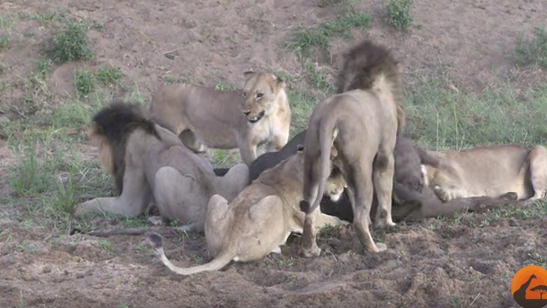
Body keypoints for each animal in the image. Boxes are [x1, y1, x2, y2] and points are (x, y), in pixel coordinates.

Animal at [74, 98, 249, 231]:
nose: (101, 154)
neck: (137, 125)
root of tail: (207, 215)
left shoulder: (133, 160)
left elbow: (125, 205)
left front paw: (78, 208)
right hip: (241, 169)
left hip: (163, 175)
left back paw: (157, 219)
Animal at [148, 70, 294, 166]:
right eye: (244, 94)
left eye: (260, 95)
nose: (245, 112)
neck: (269, 117)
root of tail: (155, 95)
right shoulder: (246, 143)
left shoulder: (276, 144)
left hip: (192, 140)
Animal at [148, 146, 348, 276]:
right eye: (335, 171)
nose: (345, 186)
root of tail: (231, 243)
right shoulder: (312, 217)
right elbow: (336, 220)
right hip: (274, 201)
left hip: (216, 199)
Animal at [296, 40, 406, 258]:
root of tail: (330, 115)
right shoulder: (385, 154)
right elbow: (385, 191)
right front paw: (387, 223)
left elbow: (353, 197)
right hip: (361, 167)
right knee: (359, 220)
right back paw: (375, 249)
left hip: (313, 165)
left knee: (309, 212)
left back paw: (311, 251)